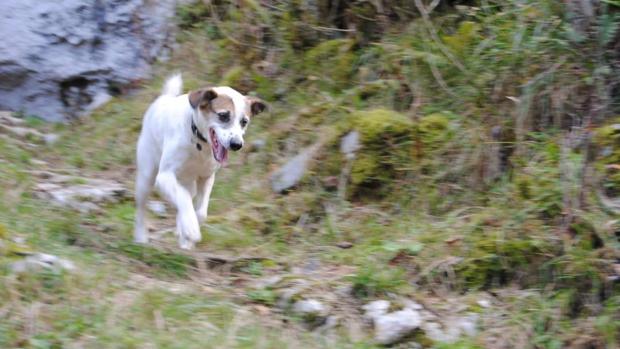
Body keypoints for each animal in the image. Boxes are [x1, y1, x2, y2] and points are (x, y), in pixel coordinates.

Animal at [134, 74, 266, 247]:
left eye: (244, 122)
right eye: (223, 116)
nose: (237, 144)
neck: (199, 144)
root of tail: (164, 98)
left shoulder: (207, 177)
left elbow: (201, 212)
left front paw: (187, 232)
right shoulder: (164, 177)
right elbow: (183, 199)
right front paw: (190, 228)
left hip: (189, 183)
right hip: (147, 176)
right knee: (142, 207)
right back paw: (141, 237)